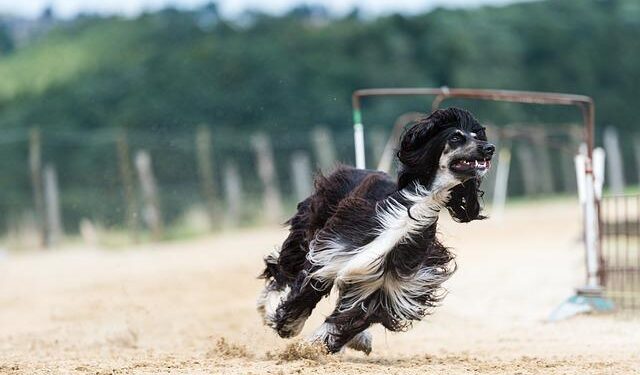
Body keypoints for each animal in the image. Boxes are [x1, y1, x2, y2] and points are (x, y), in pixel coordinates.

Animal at [256, 107, 496, 354]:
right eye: (456, 137)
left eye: (476, 136)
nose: (490, 148)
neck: (417, 204)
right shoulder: (330, 254)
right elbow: (303, 297)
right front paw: (287, 327)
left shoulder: (383, 285)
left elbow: (349, 318)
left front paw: (318, 346)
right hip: (309, 227)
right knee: (282, 267)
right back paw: (268, 306)